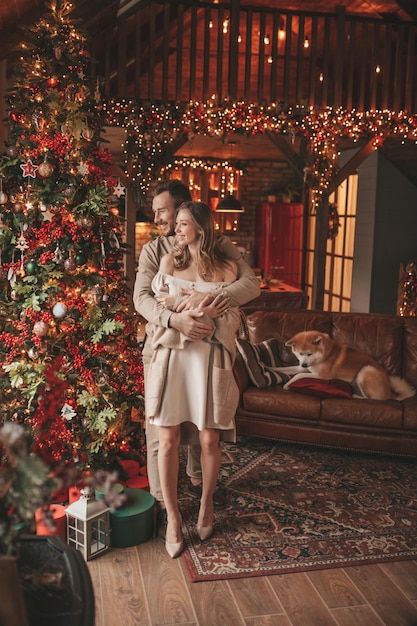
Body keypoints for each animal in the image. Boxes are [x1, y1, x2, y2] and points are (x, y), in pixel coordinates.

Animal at [282, 326, 414, 400]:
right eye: (300, 353)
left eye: (309, 353)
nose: (304, 364)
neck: (324, 354)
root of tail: (390, 392)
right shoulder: (303, 368)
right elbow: (283, 368)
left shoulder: (323, 376)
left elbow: (298, 375)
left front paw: (287, 385)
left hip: (365, 370)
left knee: (374, 399)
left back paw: (356, 397)